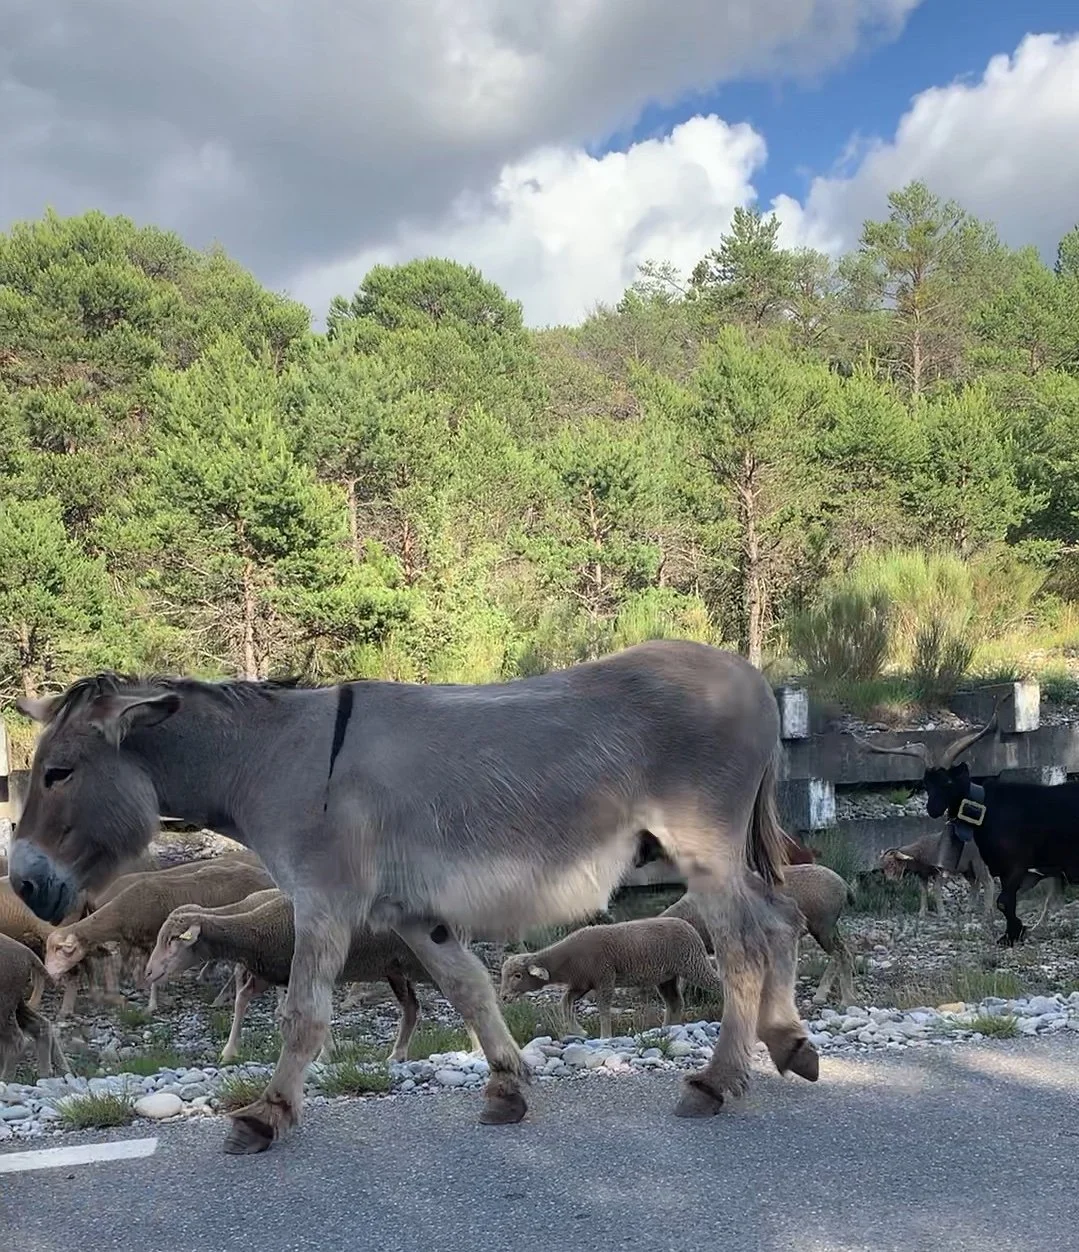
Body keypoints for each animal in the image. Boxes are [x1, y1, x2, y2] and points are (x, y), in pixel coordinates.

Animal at [0, 931, 68, 1080]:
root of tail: (27, 952)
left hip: (5, 1004)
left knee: (16, 1040)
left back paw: (5, 1079)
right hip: (16, 1003)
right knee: (41, 1024)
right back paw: (46, 1073)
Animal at [44, 860, 274, 1011]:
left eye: (60, 950)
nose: (49, 975)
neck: (122, 912)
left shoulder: (155, 940)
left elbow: (151, 972)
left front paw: (152, 1000)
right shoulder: (139, 943)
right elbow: (139, 968)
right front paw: (139, 986)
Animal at [147, 889, 479, 1064]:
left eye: (173, 939)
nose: (149, 972)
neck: (257, 929)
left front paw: (323, 1055)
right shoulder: (272, 974)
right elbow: (244, 1000)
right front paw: (229, 1052)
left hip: (421, 963)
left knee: (462, 992)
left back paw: (476, 1048)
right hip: (394, 969)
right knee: (411, 1009)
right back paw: (396, 1055)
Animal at [499, 916, 725, 1040]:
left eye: (517, 975)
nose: (503, 997)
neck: (566, 960)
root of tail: (690, 928)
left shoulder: (605, 977)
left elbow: (603, 1007)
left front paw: (605, 1036)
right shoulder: (581, 984)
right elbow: (565, 1003)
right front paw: (579, 1031)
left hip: (693, 964)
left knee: (719, 984)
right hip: (667, 976)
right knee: (675, 1003)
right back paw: (668, 1029)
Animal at [661, 863, 857, 1007]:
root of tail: (843, 884)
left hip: (822, 926)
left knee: (840, 954)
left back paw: (840, 998)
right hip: (829, 928)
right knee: (842, 953)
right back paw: (830, 995)